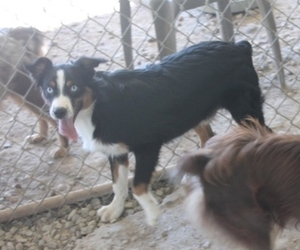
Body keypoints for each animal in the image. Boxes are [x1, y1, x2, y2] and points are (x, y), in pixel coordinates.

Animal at [0, 27, 68, 158]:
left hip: (28, 94)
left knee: (54, 120)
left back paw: (63, 148)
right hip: (21, 97)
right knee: (42, 117)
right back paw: (41, 136)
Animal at [25, 40, 268, 225]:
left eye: (74, 87)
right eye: (49, 89)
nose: (58, 112)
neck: (97, 105)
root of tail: (238, 46)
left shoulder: (148, 146)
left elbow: (138, 185)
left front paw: (152, 213)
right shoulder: (116, 152)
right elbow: (118, 184)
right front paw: (115, 210)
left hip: (245, 111)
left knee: (264, 136)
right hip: (194, 113)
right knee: (207, 137)